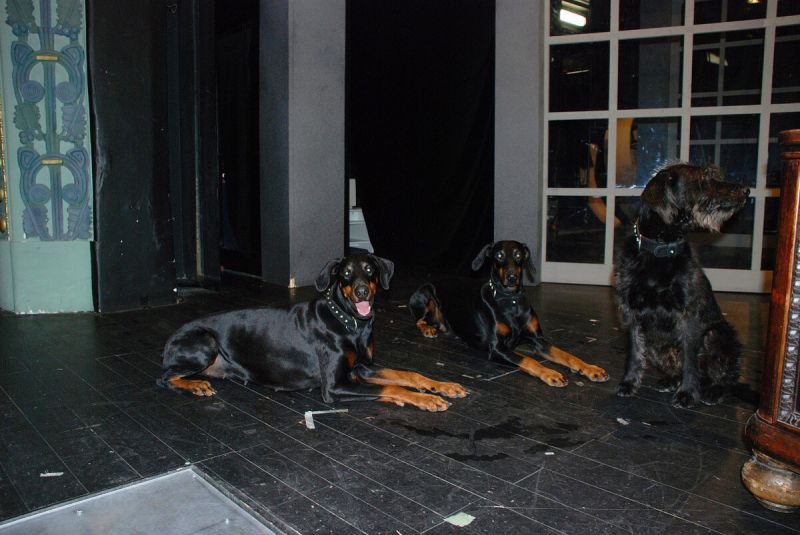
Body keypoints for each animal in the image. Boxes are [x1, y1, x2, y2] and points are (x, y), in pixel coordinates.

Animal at [158, 254, 467, 411]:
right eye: (345, 273)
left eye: (369, 269)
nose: (362, 291)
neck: (351, 323)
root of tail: (170, 339)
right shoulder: (333, 386)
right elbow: (390, 386)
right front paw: (425, 398)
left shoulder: (363, 368)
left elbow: (408, 374)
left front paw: (442, 386)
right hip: (205, 341)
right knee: (163, 378)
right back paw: (194, 385)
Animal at [409, 241, 609, 386]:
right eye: (499, 255)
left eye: (518, 255)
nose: (512, 277)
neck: (511, 301)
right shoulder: (497, 348)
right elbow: (528, 360)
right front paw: (550, 373)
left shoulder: (539, 341)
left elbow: (567, 355)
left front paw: (590, 369)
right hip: (425, 293)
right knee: (418, 320)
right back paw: (428, 329)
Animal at [614, 163, 748, 408]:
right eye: (705, 178)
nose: (745, 191)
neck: (660, 249)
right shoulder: (632, 314)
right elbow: (634, 353)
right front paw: (628, 383)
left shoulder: (689, 316)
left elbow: (690, 359)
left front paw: (687, 393)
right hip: (656, 345)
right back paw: (671, 381)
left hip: (716, 334)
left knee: (724, 378)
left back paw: (712, 390)